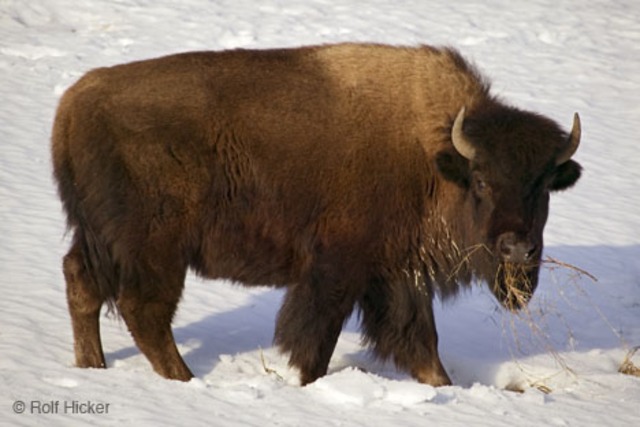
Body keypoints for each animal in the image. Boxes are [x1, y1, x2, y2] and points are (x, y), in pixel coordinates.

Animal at [52, 43, 582, 386]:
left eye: (543, 187)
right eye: (483, 181)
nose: (517, 248)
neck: (435, 156)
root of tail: (73, 106)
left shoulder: (398, 275)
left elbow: (421, 345)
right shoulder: (337, 272)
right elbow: (316, 343)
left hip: (99, 239)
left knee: (83, 285)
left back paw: (93, 367)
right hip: (156, 249)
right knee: (144, 311)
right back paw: (183, 380)